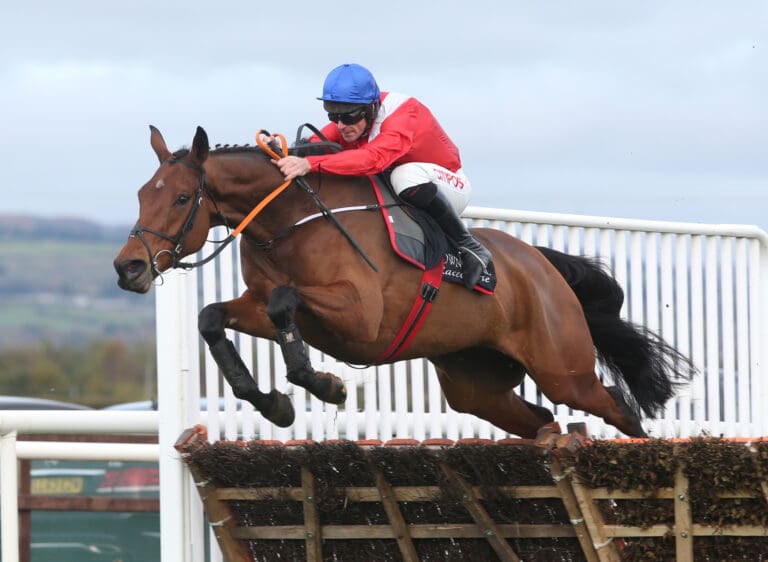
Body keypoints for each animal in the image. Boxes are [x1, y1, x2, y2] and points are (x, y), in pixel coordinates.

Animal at [114, 125, 694, 438]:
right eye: (142, 194)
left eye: (182, 198)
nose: (128, 268)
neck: (289, 223)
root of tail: (542, 266)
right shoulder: (260, 306)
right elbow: (213, 316)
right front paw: (273, 403)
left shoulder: (359, 316)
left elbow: (283, 303)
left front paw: (324, 384)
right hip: (476, 385)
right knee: (541, 417)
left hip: (563, 367)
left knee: (618, 408)